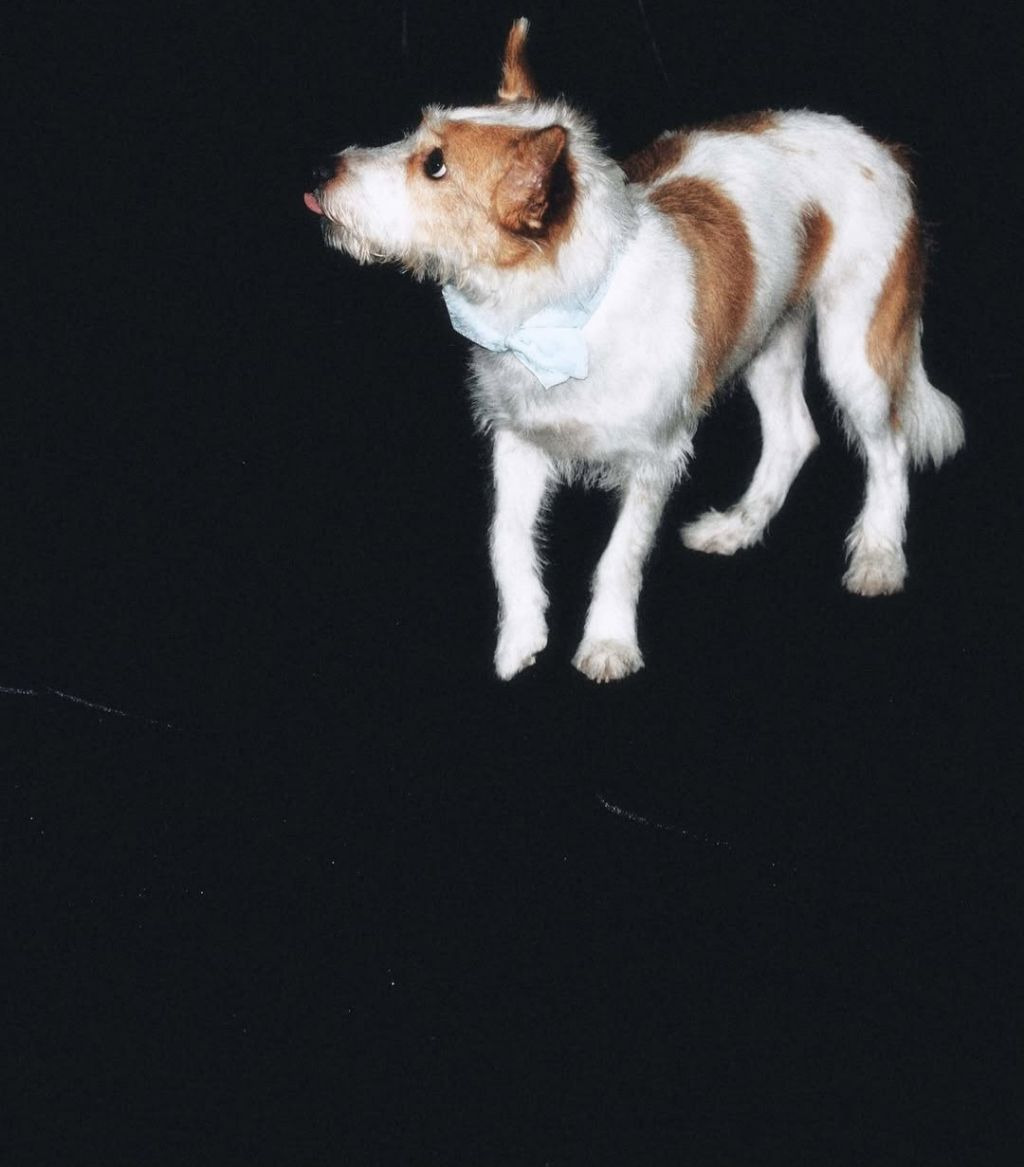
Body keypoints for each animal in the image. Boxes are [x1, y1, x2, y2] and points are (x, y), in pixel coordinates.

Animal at [304, 18, 964, 682]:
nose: (321, 171)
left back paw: (879, 555)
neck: (567, 312)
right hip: (764, 335)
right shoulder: (519, 443)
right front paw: (520, 637)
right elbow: (505, 542)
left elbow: (619, 558)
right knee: (793, 435)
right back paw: (737, 529)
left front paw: (609, 643)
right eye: (415, 135)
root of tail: (880, 145)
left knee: (888, 449)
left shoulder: (653, 459)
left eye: (435, 165)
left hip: (855, 349)